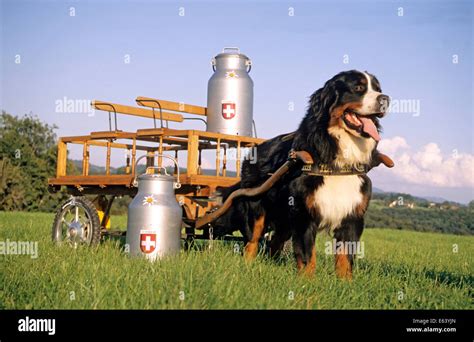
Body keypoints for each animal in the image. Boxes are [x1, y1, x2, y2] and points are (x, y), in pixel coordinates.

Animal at [213, 69, 390, 278]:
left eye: (378, 89)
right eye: (359, 87)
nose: (385, 99)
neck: (338, 160)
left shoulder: (352, 216)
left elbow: (345, 258)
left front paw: (345, 283)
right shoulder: (303, 213)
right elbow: (307, 256)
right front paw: (307, 282)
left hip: (284, 218)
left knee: (275, 242)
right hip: (257, 209)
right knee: (252, 242)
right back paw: (248, 268)